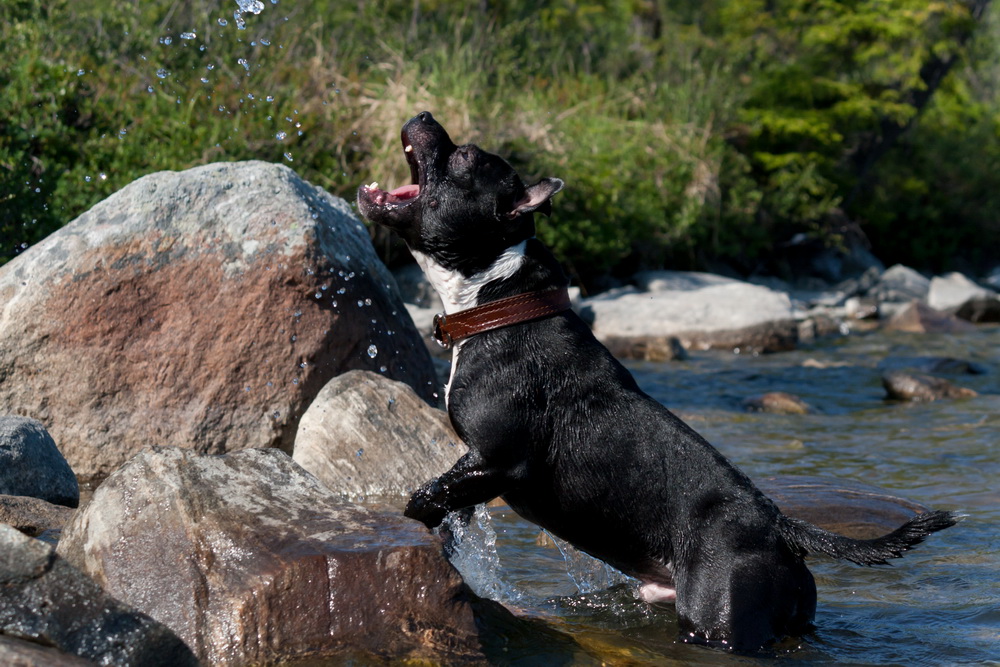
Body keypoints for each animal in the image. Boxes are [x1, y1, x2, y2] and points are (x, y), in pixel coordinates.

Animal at [356, 113, 956, 652]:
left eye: (464, 157)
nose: (424, 112)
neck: (501, 300)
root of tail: (781, 528)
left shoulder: (496, 461)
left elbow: (423, 497)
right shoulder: (475, 471)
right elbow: (447, 503)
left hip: (719, 620)